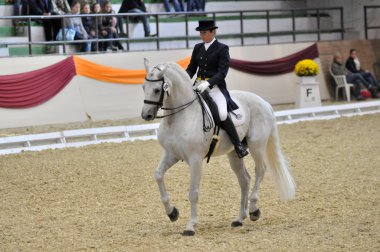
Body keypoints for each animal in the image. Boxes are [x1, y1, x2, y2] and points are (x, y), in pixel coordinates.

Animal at [141, 59, 296, 236]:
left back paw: (254, 210)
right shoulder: (171, 154)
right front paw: (172, 213)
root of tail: (263, 102)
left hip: (257, 145)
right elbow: (158, 175)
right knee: (244, 180)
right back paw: (239, 218)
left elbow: (193, 192)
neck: (179, 117)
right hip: (234, 154)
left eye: (156, 89)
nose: (146, 115)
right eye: (143, 87)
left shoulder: (195, 160)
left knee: (260, 170)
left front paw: (190, 226)